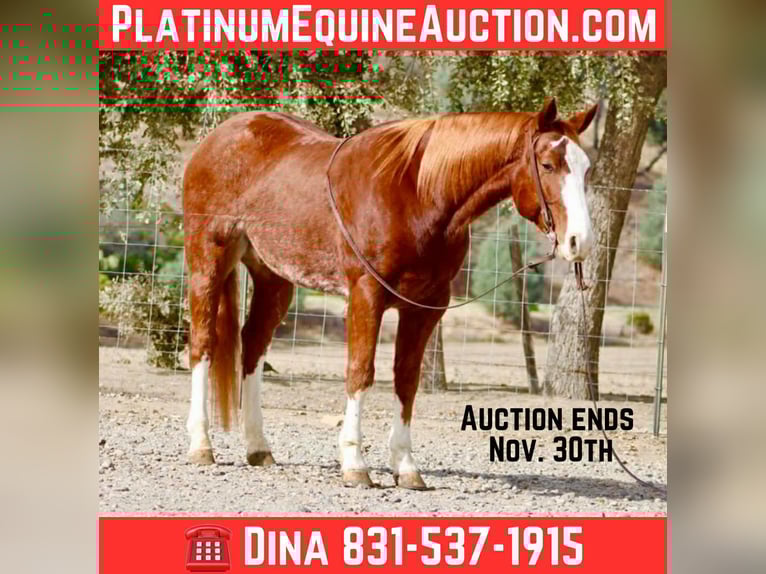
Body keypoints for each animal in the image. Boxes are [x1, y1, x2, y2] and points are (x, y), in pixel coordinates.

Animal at [182, 97, 597, 489]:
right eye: (547, 165)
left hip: (274, 278)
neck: (418, 194)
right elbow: (361, 372)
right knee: (204, 343)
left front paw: (406, 467)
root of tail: (218, 138)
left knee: (252, 345)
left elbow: (406, 379)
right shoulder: (366, 296)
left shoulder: (426, 307)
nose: (580, 241)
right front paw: (354, 464)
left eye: (586, 168)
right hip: (207, 262)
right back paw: (201, 445)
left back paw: (258, 447)